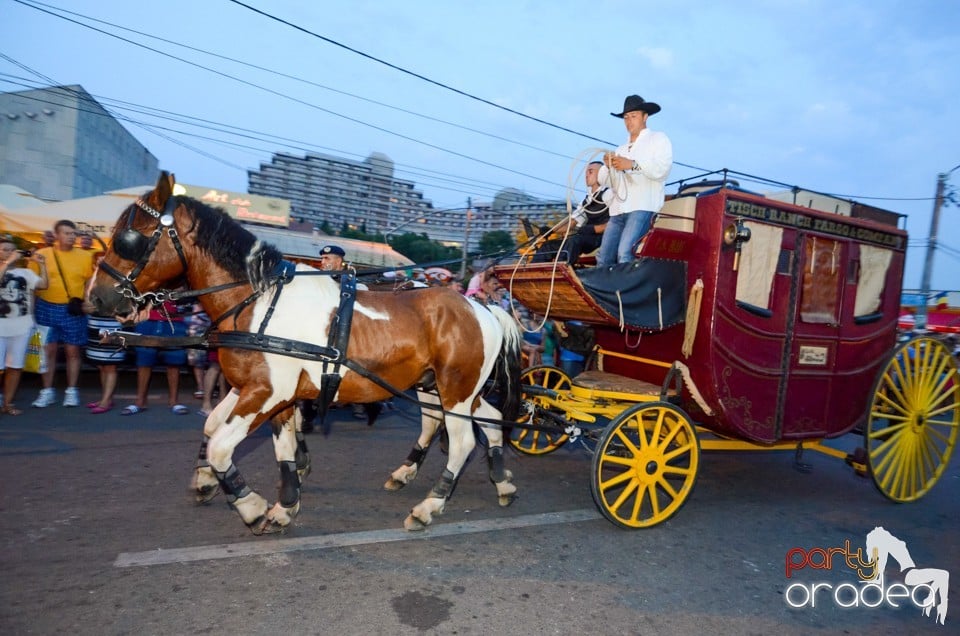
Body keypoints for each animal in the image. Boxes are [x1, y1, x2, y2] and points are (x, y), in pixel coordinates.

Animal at [89, 171, 520, 536]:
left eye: (129, 238)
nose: (96, 297)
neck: (258, 302)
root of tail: (482, 307)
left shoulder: (268, 393)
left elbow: (221, 445)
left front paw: (250, 505)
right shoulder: (261, 391)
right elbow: (238, 434)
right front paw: (281, 502)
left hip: (456, 389)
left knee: (462, 442)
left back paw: (430, 505)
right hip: (444, 388)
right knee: (480, 420)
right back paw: (496, 480)